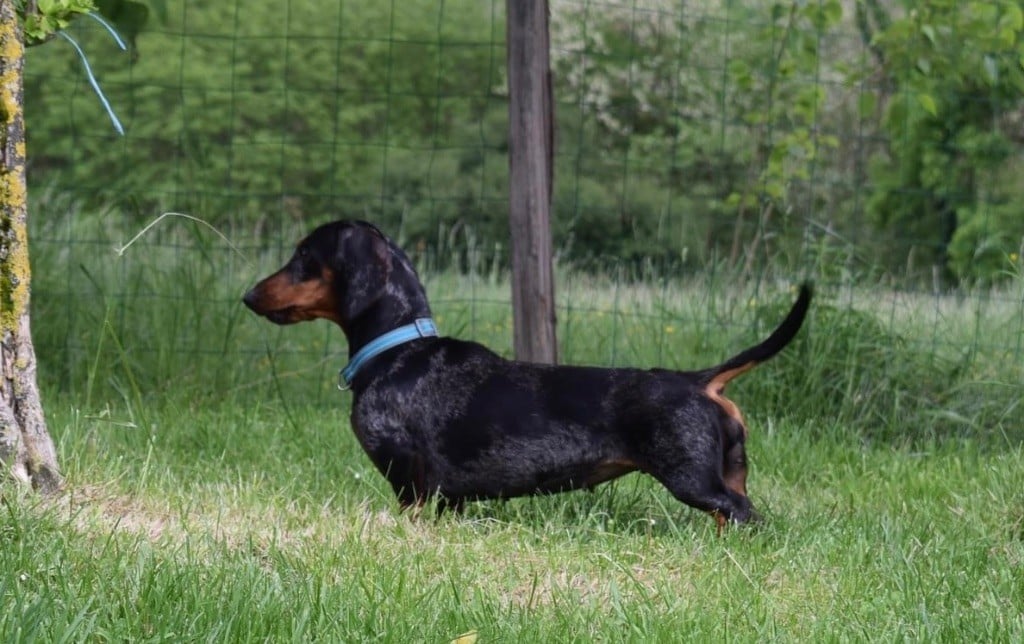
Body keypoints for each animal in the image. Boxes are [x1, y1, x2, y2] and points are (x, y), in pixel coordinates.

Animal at [243, 220, 812, 527]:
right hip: (728, 473)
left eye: (302, 256)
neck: (398, 350)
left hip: (693, 478)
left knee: (740, 515)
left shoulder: (410, 482)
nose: (248, 295)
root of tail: (697, 379)